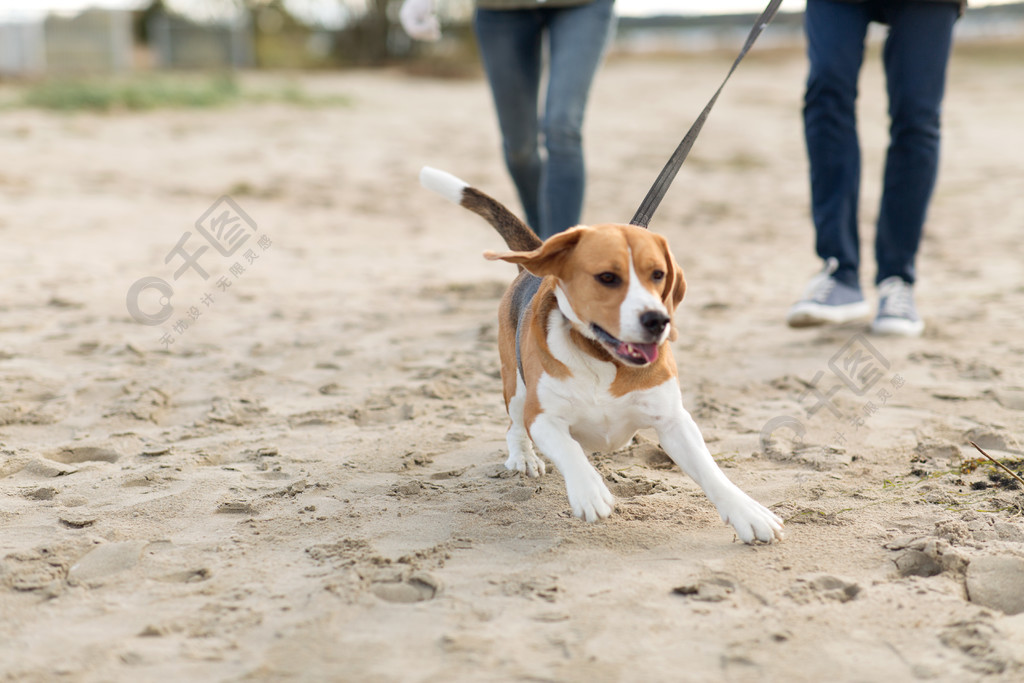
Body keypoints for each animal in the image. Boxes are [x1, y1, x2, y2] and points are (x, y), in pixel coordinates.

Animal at [419, 166, 778, 544]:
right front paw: (589, 491)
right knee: (514, 426)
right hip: (514, 387)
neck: (602, 359)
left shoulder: (673, 420)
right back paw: (524, 458)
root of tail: (532, 269)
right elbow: (570, 450)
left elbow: (711, 471)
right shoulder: (542, 416)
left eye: (658, 274)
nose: (658, 321)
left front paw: (748, 513)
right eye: (607, 277)